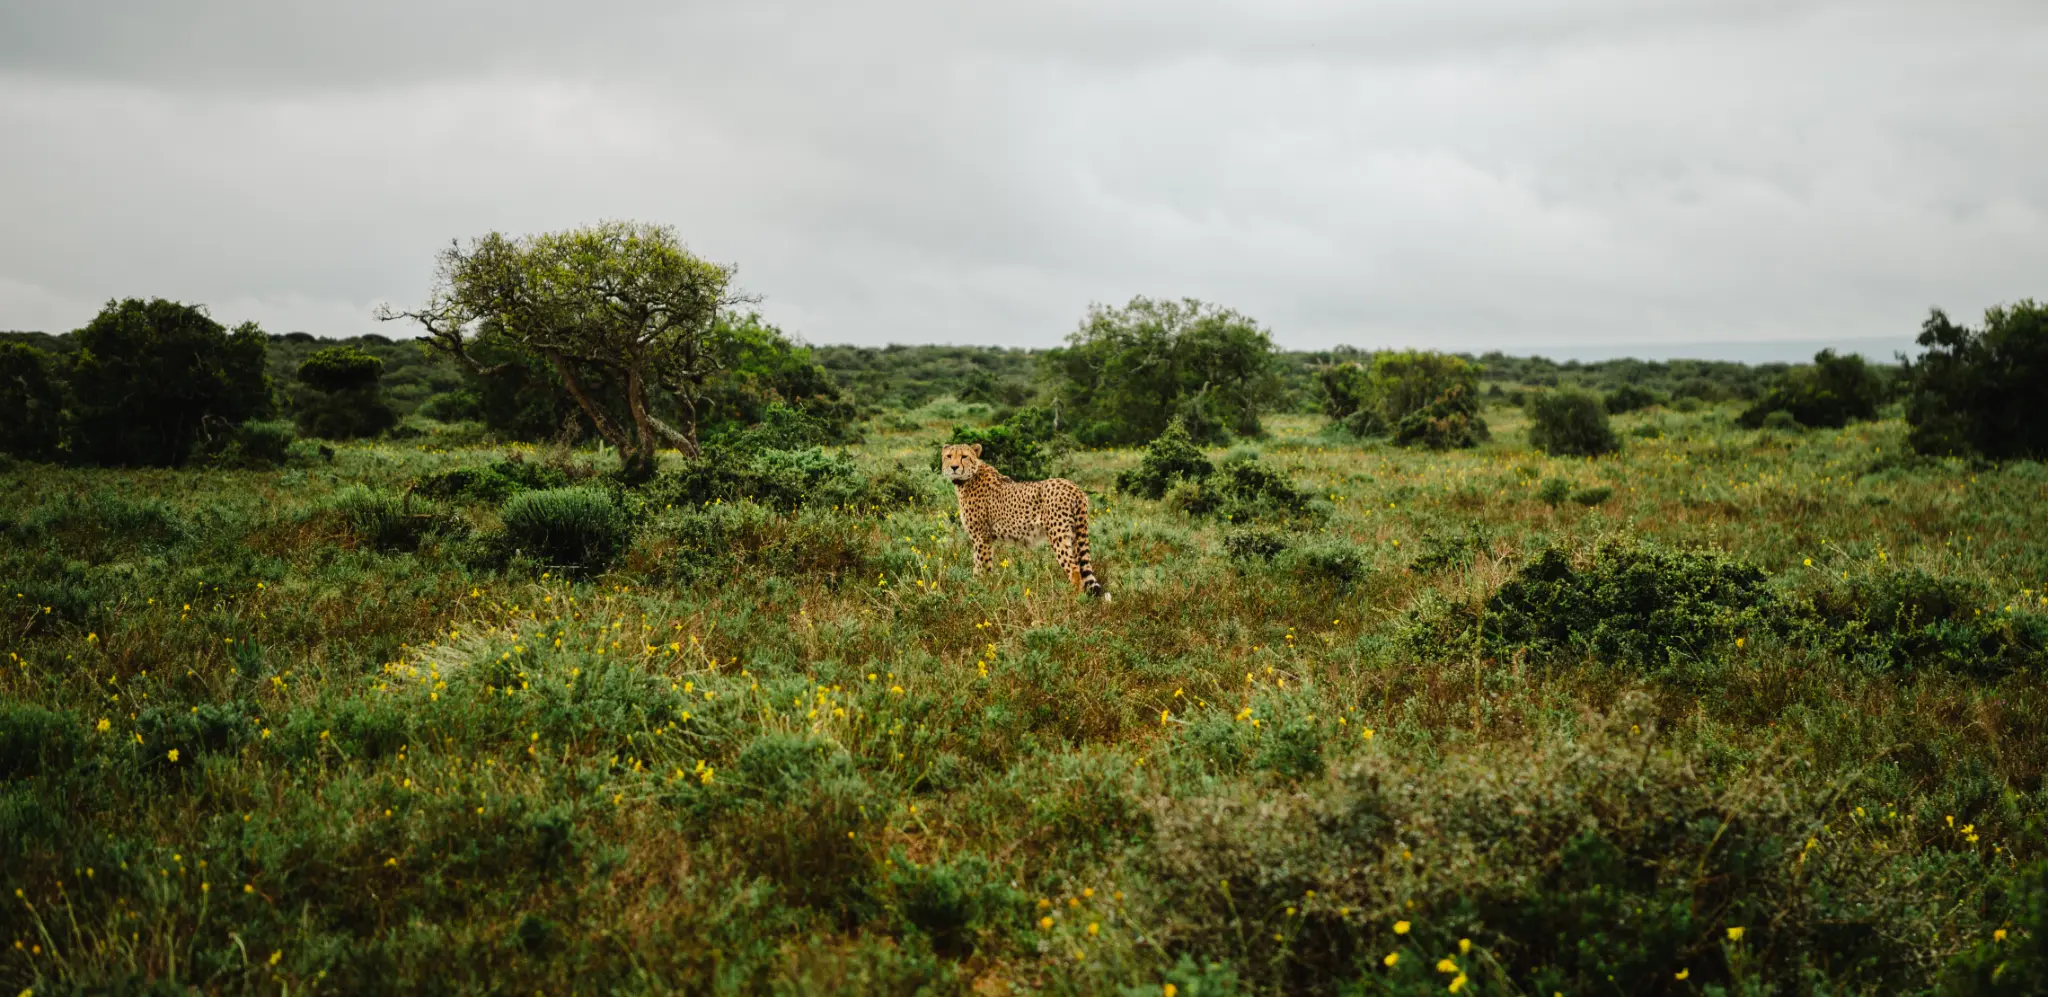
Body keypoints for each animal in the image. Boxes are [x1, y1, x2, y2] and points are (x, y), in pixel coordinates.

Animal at [940, 443, 1109, 601]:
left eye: (964, 456)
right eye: (949, 456)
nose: (954, 467)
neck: (969, 477)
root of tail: (1074, 487)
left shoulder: (982, 538)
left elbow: (982, 566)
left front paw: (982, 591)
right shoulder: (984, 539)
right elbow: (979, 565)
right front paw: (978, 588)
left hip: (1058, 535)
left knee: (1074, 569)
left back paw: (1073, 601)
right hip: (1074, 535)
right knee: (1081, 567)